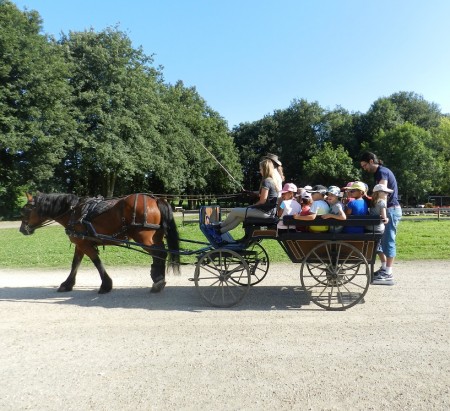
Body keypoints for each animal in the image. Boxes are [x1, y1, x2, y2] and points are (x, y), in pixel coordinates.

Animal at [18, 192, 181, 294]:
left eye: (25, 210)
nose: (22, 229)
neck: (73, 212)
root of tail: (156, 199)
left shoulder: (84, 244)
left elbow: (97, 262)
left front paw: (106, 285)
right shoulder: (80, 243)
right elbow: (75, 264)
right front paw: (67, 284)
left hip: (143, 238)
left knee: (159, 253)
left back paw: (158, 281)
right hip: (155, 238)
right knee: (161, 254)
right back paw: (159, 279)